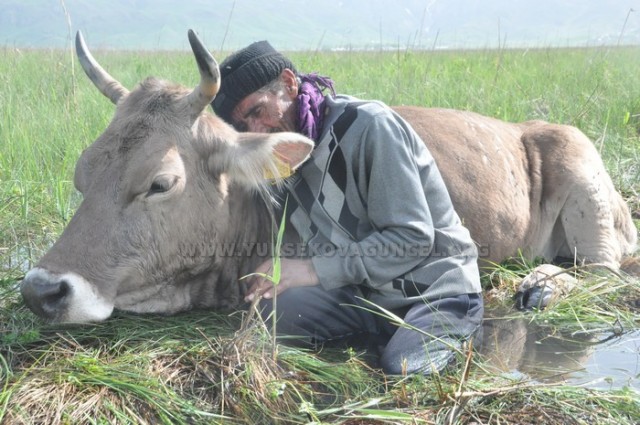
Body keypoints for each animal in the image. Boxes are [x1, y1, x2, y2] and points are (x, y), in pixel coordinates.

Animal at [17, 29, 636, 322]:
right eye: (81, 174)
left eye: (160, 182)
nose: (40, 291)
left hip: (582, 172)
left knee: (604, 272)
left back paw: (542, 285)